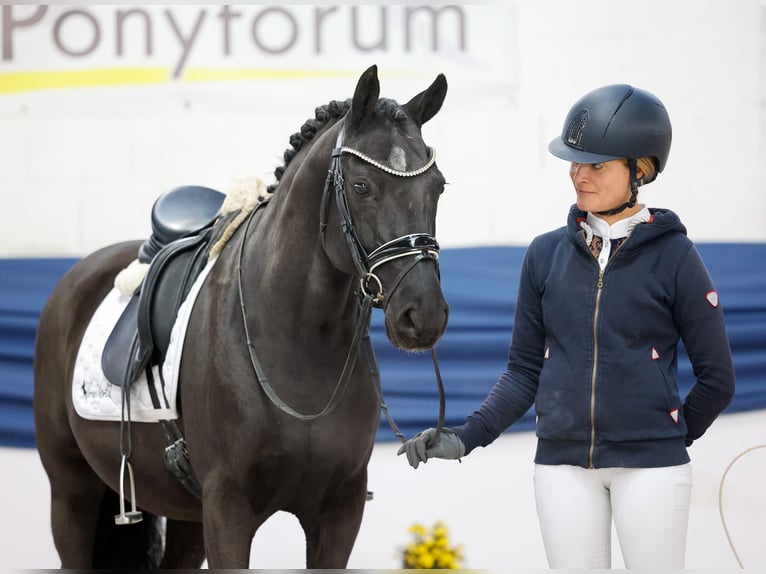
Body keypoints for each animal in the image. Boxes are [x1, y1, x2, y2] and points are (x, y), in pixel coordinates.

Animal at [33, 65, 449, 569]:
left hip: (184, 516)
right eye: (362, 186)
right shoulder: (227, 510)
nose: (423, 315)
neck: (298, 339)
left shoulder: (339, 512)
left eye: (438, 187)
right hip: (71, 490)